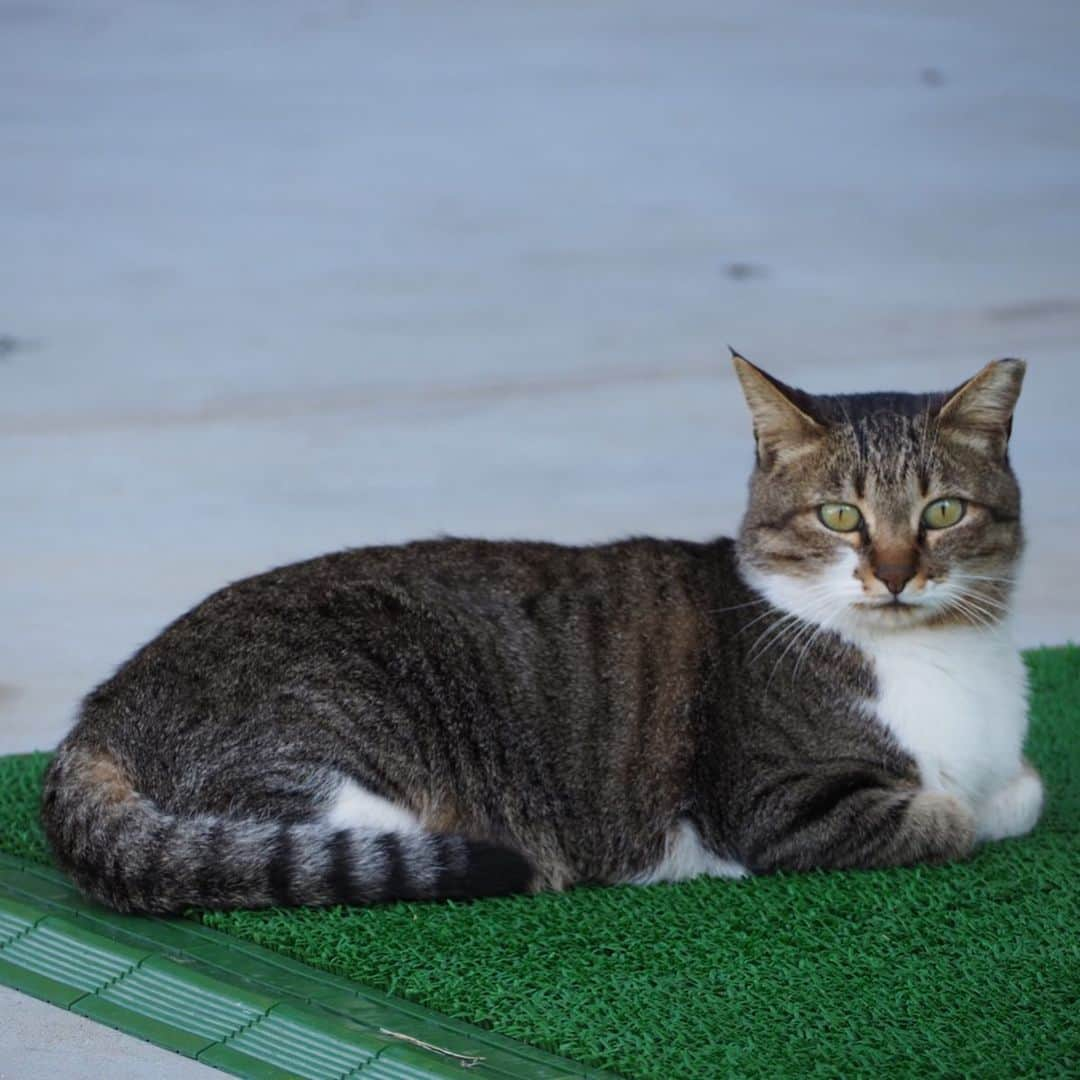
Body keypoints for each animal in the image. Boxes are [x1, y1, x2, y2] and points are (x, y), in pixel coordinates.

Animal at [44, 354, 1045, 911]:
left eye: (942, 512)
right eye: (841, 517)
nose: (895, 573)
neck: (944, 659)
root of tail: (99, 713)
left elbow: (1024, 789)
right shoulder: (781, 808)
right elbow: (955, 814)